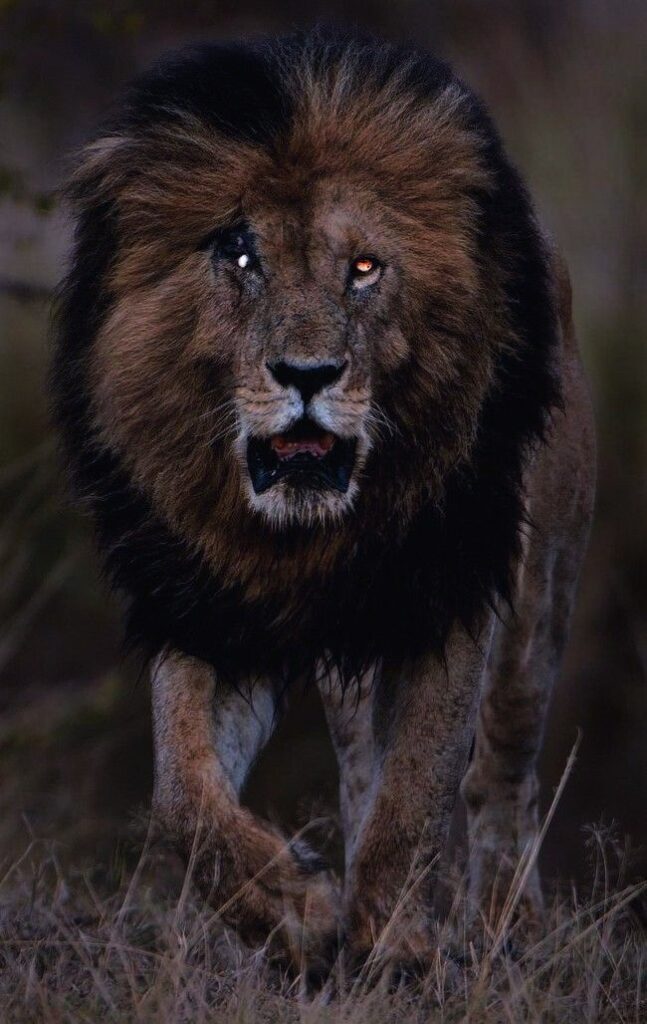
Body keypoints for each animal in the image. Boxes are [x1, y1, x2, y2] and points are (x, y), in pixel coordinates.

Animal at [52, 31, 595, 971]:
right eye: (240, 256)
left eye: (364, 269)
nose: (306, 375)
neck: (298, 542)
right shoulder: (207, 605)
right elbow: (181, 798)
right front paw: (294, 907)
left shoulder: (453, 592)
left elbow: (418, 788)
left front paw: (392, 942)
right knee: (359, 765)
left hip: (539, 597)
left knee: (501, 771)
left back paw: (505, 927)